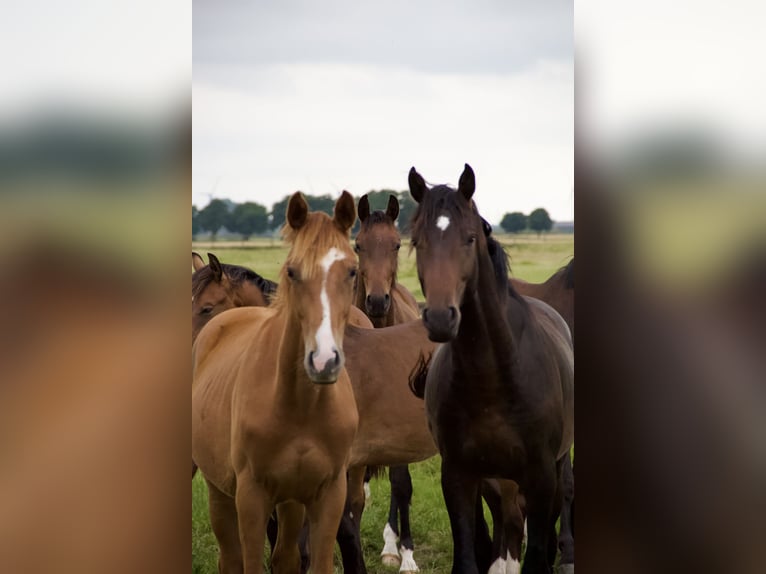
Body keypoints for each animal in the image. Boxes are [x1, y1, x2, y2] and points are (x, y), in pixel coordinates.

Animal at [192, 191, 360, 574]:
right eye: (292, 271)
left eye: (353, 270)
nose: (323, 360)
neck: (302, 406)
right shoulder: (251, 497)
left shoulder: (329, 495)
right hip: (220, 492)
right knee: (231, 558)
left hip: (290, 502)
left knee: (284, 556)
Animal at [408, 164, 574, 574]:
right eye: (417, 242)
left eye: (470, 239)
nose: (440, 318)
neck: (492, 378)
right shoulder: (458, 475)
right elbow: (469, 556)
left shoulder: (541, 475)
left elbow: (537, 556)